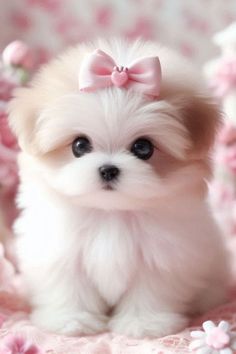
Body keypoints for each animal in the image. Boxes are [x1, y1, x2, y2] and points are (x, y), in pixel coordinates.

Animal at [8, 38, 229, 338]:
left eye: (143, 148)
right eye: (80, 145)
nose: (108, 169)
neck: (111, 213)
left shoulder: (162, 257)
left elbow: (149, 290)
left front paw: (144, 323)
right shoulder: (61, 253)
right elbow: (69, 286)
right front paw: (72, 320)